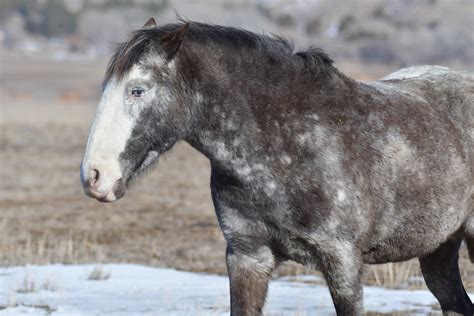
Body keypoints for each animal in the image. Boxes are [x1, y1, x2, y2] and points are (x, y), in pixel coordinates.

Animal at [80, 18, 474, 314]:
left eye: (137, 90)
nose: (94, 176)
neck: (285, 146)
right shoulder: (247, 257)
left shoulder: (343, 262)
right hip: (439, 248)